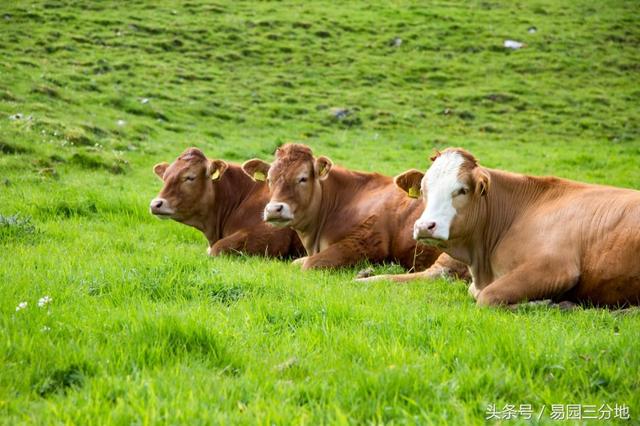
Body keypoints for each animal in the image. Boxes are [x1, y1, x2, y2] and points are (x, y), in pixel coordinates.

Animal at [240, 141, 464, 278]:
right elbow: (296, 262)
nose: (274, 209)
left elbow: (308, 264)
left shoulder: (364, 243)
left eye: (302, 178)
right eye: (269, 179)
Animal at [396, 148, 640, 308]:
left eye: (462, 190)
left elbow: (487, 297)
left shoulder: (557, 267)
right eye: (424, 189)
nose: (424, 226)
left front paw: (544, 302)